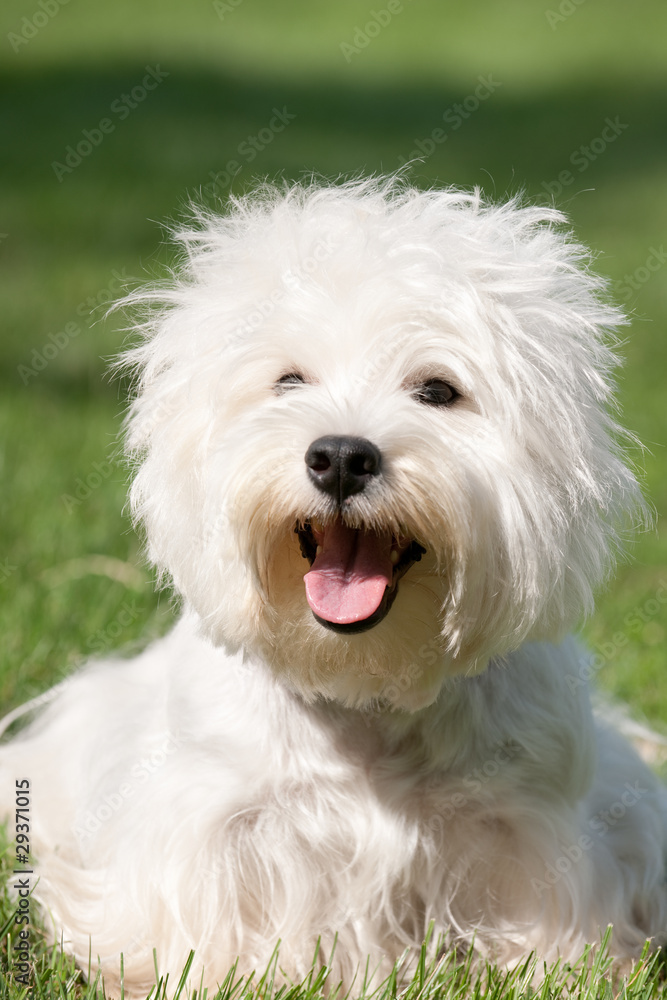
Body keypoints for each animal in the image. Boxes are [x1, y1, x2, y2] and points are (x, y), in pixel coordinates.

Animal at [1, 176, 667, 996]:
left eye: (438, 390)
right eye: (288, 380)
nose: (342, 457)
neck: (362, 690)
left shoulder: (531, 823)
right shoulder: (214, 826)